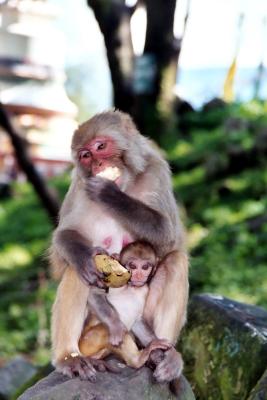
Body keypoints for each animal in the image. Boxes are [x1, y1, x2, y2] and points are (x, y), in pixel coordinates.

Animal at [50, 109, 188, 382]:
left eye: (101, 147)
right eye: (85, 155)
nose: (96, 165)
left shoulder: (157, 171)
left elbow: (168, 235)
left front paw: (109, 194)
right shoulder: (80, 187)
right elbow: (64, 237)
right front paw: (84, 259)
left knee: (176, 261)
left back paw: (164, 355)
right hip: (89, 334)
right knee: (75, 271)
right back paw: (69, 357)